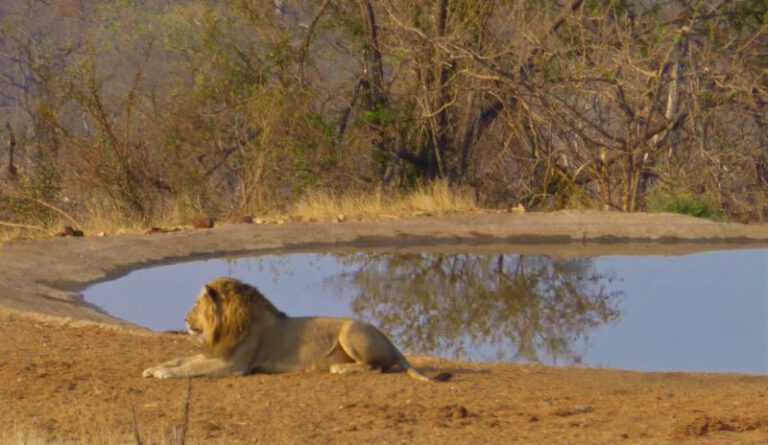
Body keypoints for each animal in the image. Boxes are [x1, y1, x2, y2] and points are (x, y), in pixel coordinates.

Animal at [143, 276, 432, 380]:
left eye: (195, 304)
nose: (184, 318)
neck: (226, 326)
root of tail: (391, 341)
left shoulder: (232, 365)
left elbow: (191, 368)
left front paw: (164, 374)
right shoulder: (217, 353)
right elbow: (182, 360)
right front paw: (153, 368)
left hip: (349, 331)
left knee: (375, 367)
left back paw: (341, 368)